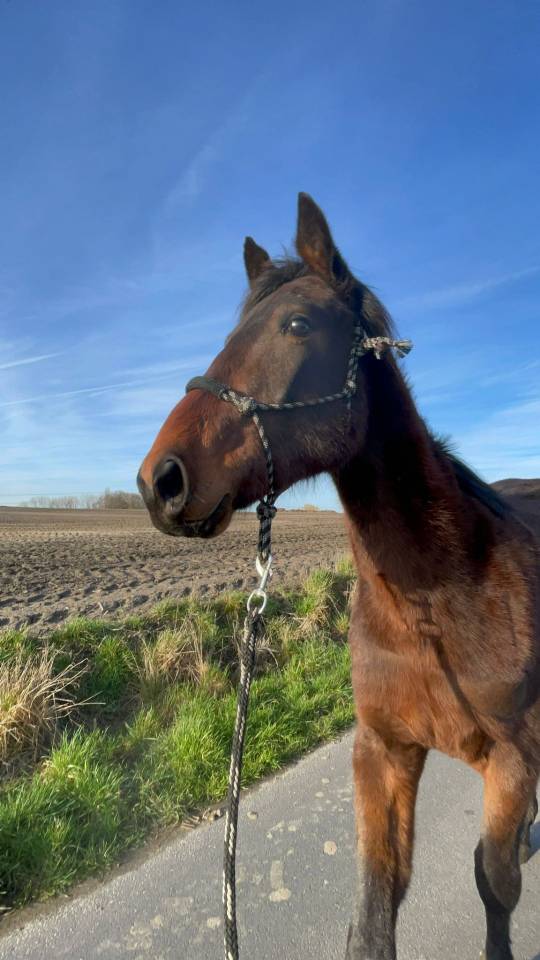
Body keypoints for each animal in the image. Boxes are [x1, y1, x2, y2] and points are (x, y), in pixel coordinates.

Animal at [137, 193, 539, 960]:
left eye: (298, 324)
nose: (160, 481)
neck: (433, 602)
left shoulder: (510, 760)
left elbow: (493, 881)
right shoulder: (381, 753)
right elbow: (375, 914)